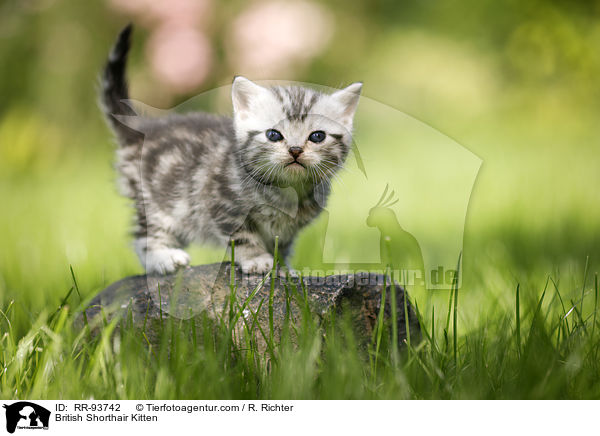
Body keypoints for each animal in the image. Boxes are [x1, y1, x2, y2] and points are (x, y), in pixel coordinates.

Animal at [99, 23, 360, 274]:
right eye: (273, 135)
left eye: (317, 136)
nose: (295, 150)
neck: (286, 191)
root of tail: (143, 128)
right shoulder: (221, 203)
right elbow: (242, 237)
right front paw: (256, 260)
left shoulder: (288, 230)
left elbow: (281, 245)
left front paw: (283, 268)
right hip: (160, 200)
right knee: (145, 235)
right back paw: (164, 258)